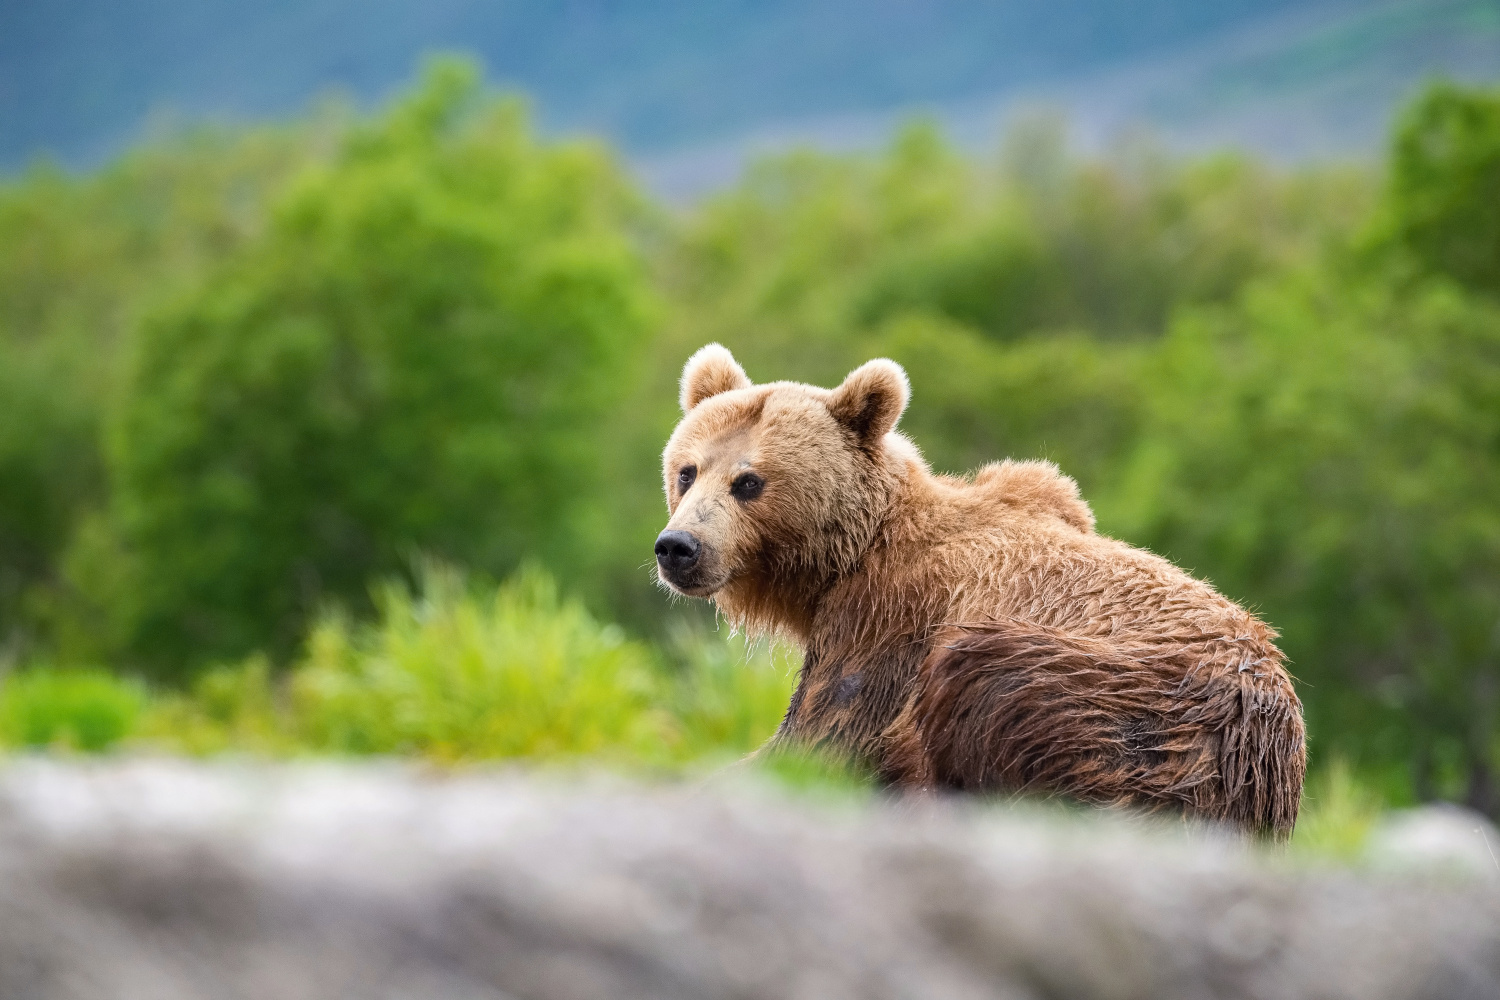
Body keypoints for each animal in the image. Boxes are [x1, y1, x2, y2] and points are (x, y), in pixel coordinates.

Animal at [657, 344, 1302, 839]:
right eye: (687, 471)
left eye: (749, 482)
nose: (678, 546)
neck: (843, 561)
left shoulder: (886, 619)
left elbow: (822, 741)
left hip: (1120, 705)